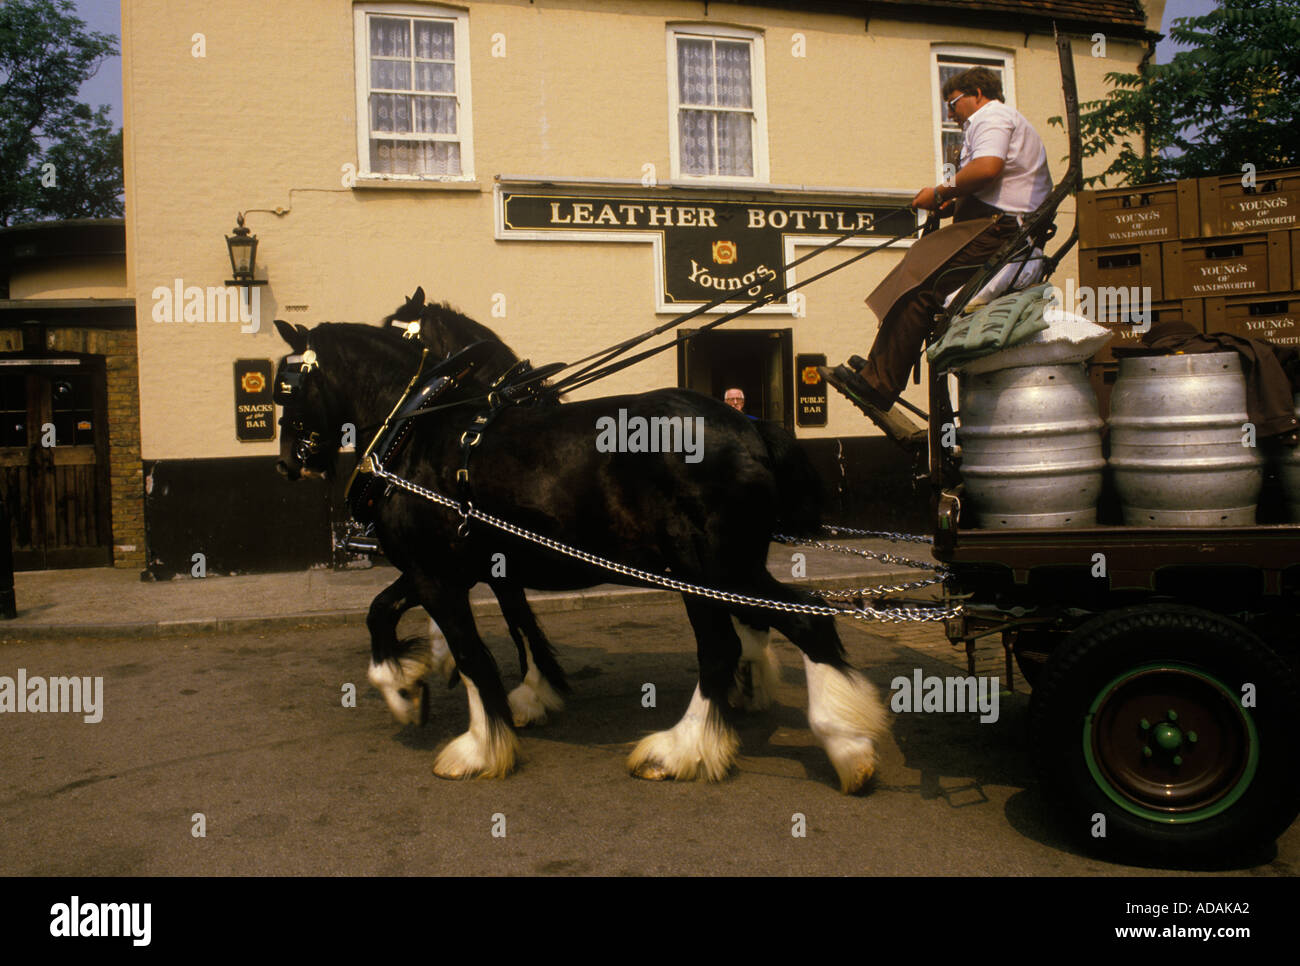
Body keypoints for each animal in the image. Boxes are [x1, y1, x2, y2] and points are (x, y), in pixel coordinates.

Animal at [269, 313, 889, 790]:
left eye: (288, 389)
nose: (287, 463)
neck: (418, 432)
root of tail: (750, 428)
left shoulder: (437, 576)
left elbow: (474, 657)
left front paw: (479, 745)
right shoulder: (449, 569)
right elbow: (390, 614)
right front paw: (405, 690)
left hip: (702, 567)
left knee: (729, 645)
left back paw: (685, 748)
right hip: (732, 566)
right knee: (803, 619)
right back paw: (842, 742)